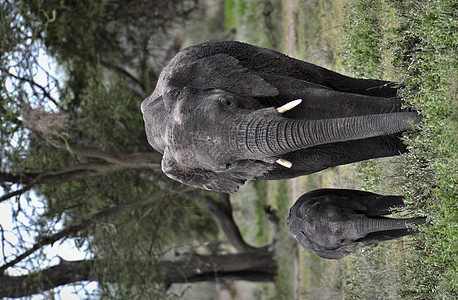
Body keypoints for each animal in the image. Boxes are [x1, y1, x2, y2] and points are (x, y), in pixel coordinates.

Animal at [141, 41, 420, 193]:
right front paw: (409, 135)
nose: (415, 118)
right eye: (227, 167)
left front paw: (415, 111)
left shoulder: (257, 78)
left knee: (331, 80)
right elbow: (327, 154)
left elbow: (322, 102)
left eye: (228, 101)